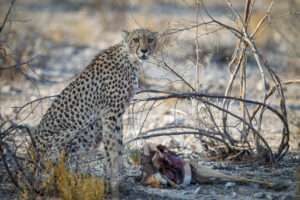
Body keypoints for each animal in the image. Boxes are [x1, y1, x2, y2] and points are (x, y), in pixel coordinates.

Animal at [33, 28, 157, 198]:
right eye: (136, 39)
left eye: (150, 40)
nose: (144, 51)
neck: (130, 60)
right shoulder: (110, 114)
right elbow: (112, 147)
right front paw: (114, 181)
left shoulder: (115, 115)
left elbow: (118, 146)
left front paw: (120, 179)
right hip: (71, 133)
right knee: (60, 167)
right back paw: (74, 183)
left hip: (91, 130)